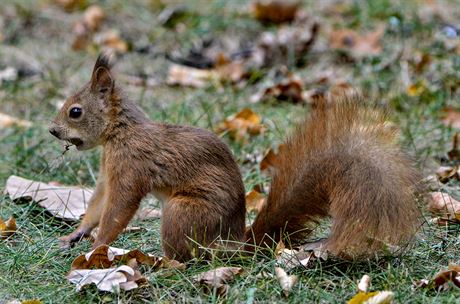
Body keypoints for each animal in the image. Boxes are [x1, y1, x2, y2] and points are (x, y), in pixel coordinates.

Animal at [49, 54, 420, 262]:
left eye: (75, 111)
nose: (52, 131)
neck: (120, 132)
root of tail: (232, 244)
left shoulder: (130, 167)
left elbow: (118, 209)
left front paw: (97, 248)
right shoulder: (107, 171)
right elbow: (99, 202)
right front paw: (76, 235)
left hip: (183, 212)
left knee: (189, 257)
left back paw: (164, 264)